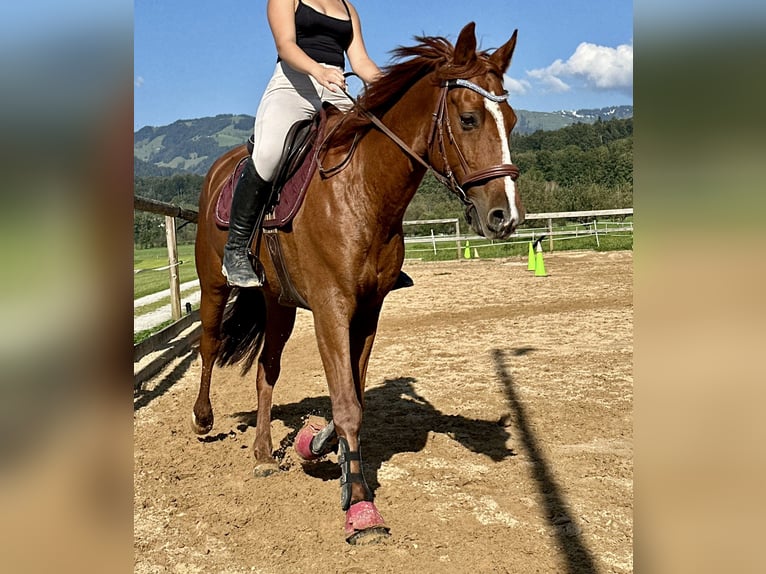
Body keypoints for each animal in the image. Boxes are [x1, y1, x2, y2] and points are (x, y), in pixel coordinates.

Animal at [195, 22, 524, 544]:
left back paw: (265, 454)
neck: (363, 188)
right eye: (469, 119)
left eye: (510, 121)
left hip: (278, 302)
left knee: (267, 368)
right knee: (208, 345)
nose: (505, 218)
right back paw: (203, 420)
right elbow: (347, 402)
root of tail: (221, 168)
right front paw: (362, 508)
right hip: (213, 284)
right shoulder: (331, 307)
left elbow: (354, 394)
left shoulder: (369, 308)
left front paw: (316, 445)